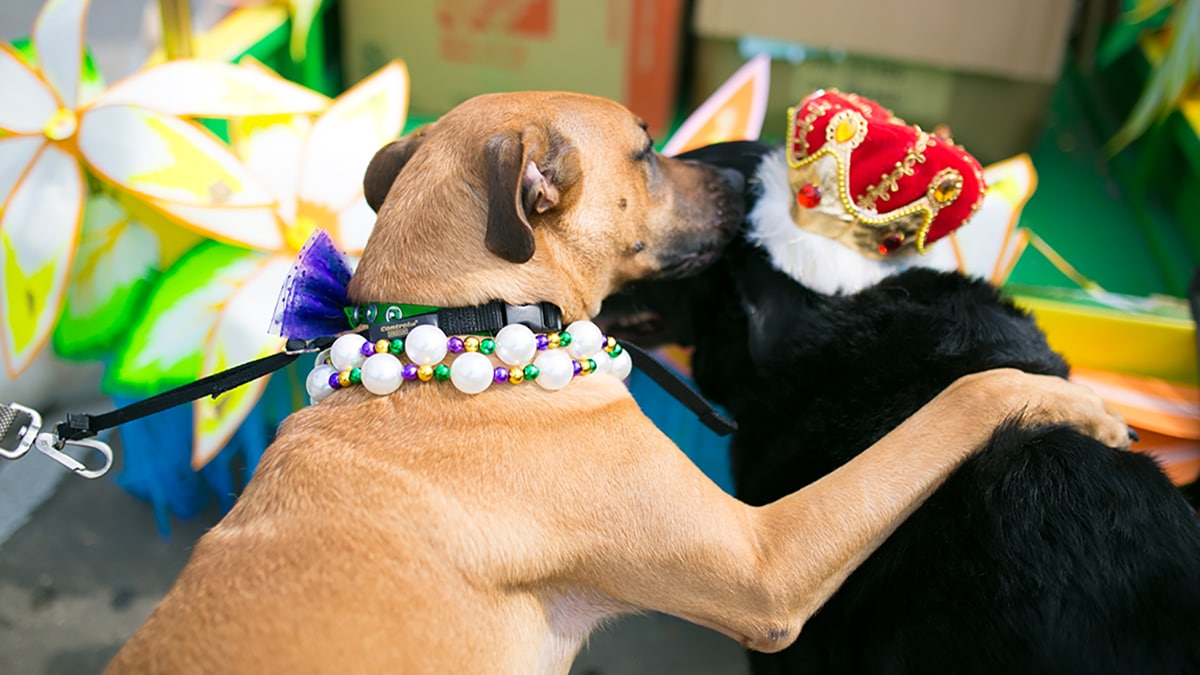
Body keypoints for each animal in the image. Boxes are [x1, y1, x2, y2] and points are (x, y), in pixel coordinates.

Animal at [103, 93, 1123, 672]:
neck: (468, 330)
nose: (746, 177)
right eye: (647, 148)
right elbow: (958, 402)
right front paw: (1071, 401)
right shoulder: (765, 565)